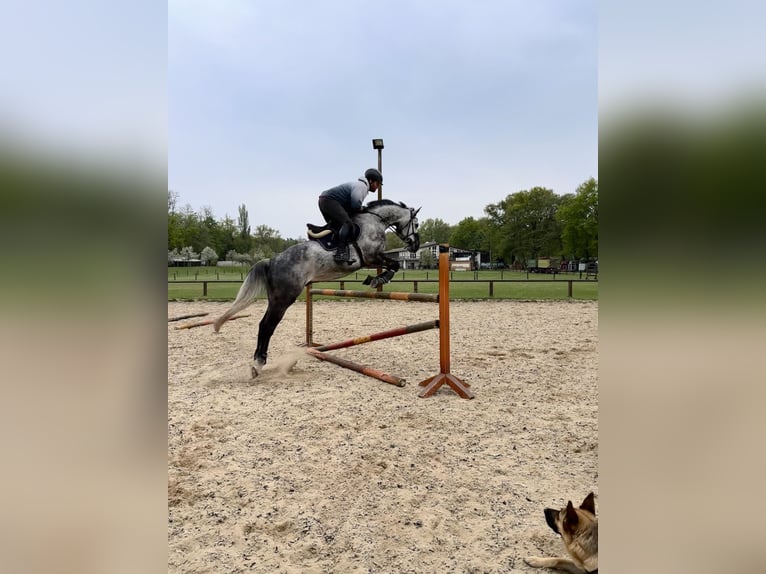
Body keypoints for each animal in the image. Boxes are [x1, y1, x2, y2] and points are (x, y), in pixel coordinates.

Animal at [212, 199, 421, 378]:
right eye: (417, 224)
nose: (415, 246)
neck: (374, 221)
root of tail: (271, 261)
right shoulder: (370, 257)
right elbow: (393, 264)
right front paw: (378, 279)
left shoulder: (373, 258)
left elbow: (392, 263)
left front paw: (376, 278)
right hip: (284, 299)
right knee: (267, 326)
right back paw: (258, 363)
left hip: (276, 298)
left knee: (263, 325)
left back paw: (260, 362)